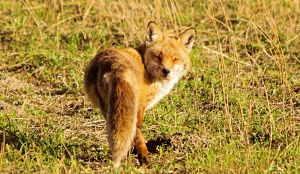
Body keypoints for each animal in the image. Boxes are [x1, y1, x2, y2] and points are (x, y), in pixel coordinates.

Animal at [84, 21, 197, 167]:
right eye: (158, 57)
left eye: (175, 59)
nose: (166, 71)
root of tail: (113, 65)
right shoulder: (141, 106)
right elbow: (136, 133)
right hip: (131, 108)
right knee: (135, 133)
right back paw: (143, 159)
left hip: (108, 108)